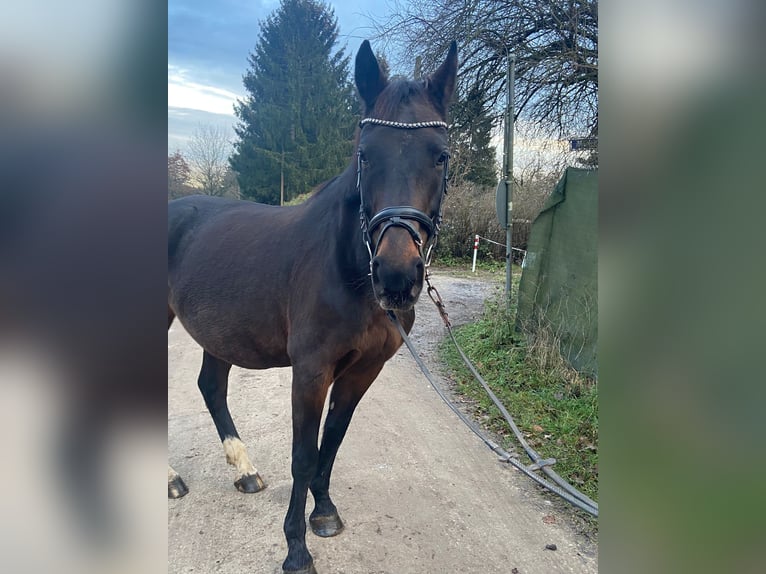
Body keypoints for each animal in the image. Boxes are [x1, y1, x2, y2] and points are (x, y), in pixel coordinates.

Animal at [168, 40, 456, 574]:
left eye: (440, 157)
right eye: (365, 155)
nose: (397, 276)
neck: (348, 270)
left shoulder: (363, 369)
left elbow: (333, 440)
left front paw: (324, 512)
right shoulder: (311, 370)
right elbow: (303, 454)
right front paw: (296, 548)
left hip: (219, 333)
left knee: (211, 387)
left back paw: (244, 470)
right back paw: (171, 479)